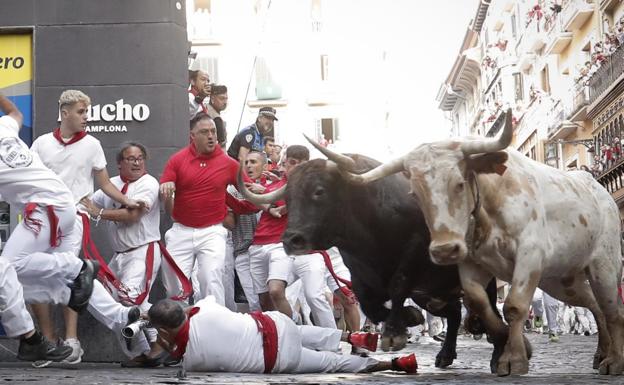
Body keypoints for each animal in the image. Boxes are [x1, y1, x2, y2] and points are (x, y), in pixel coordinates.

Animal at [338, 109, 624, 376]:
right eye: (415, 193)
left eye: (459, 183)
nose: (444, 250)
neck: (491, 206)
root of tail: (597, 188)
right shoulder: (470, 263)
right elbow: (479, 303)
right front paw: (503, 339)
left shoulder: (529, 256)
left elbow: (514, 306)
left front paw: (513, 358)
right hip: (560, 281)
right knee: (594, 305)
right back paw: (601, 353)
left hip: (603, 266)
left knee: (611, 309)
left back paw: (614, 360)